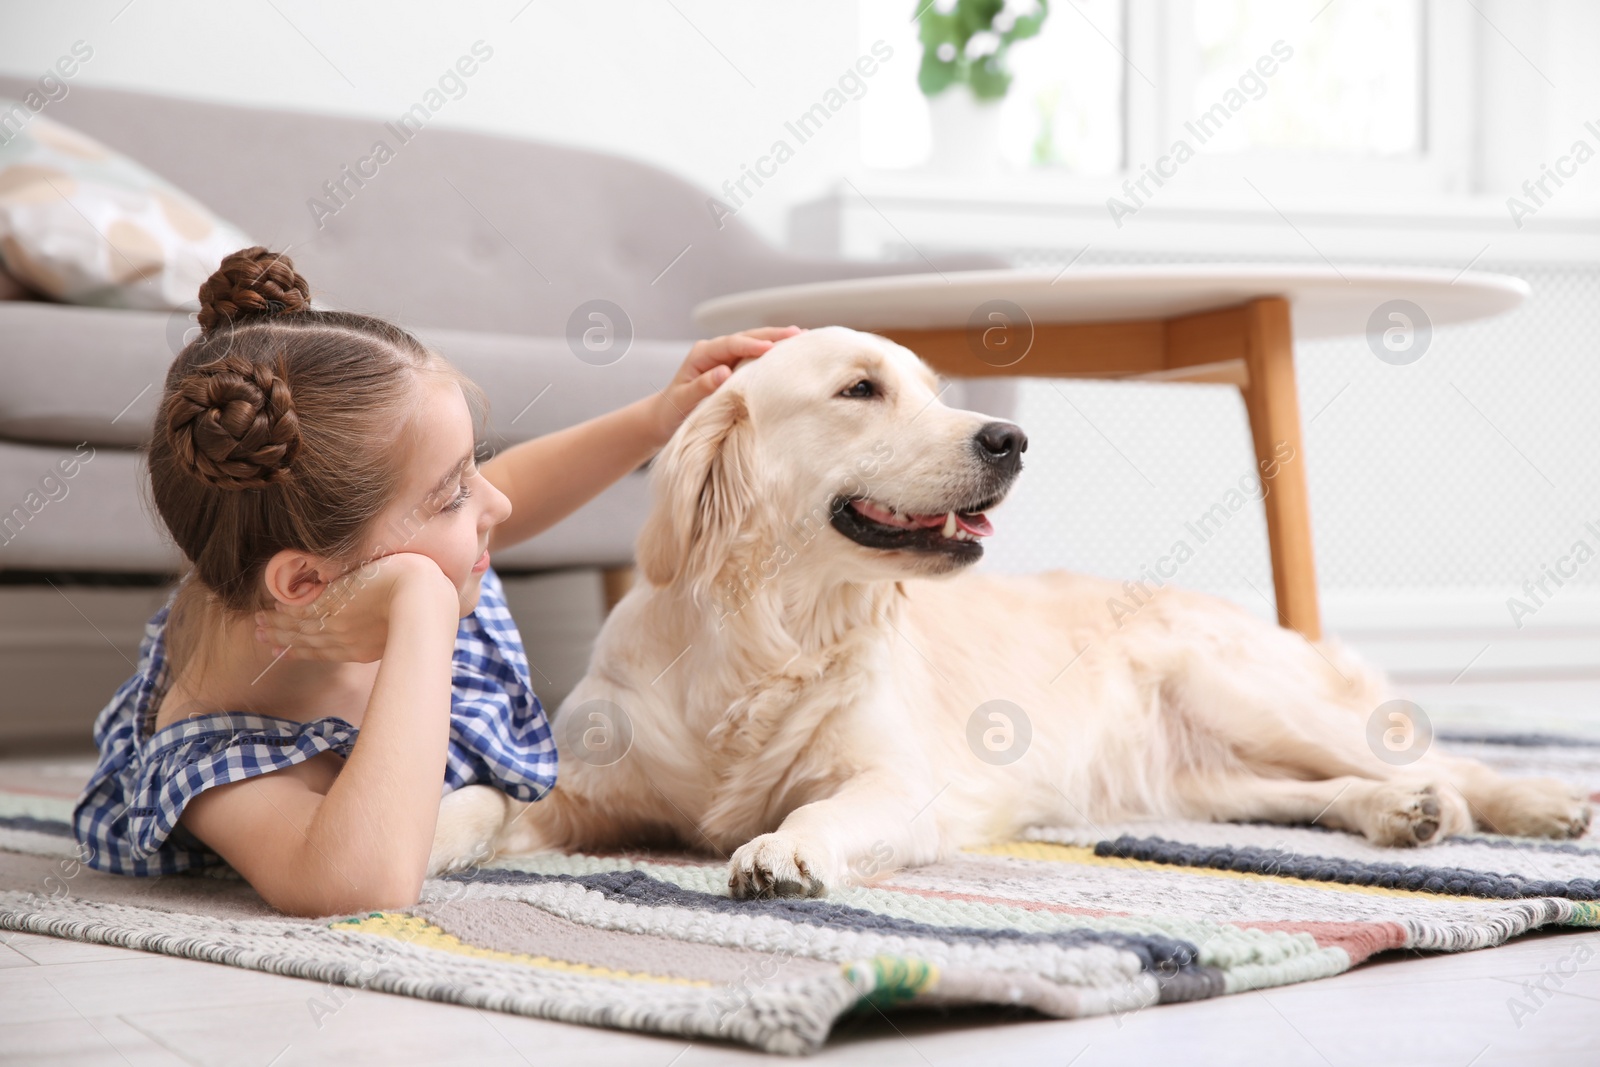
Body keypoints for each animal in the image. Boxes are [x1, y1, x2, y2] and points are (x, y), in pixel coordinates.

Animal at [432, 323, 1593, 895]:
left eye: (937, 389)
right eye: (859, 388)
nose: (1009, 438)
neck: (769, 637)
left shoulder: (895, 785)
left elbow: (821, 809)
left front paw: (780, 851)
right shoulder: (588, 789)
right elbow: (488, 800)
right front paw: (435, 834)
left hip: (1249, 692)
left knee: (1443, 756)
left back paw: (1536, 802)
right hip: (1197, 776)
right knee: (1323, 789)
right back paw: (1395, 812)